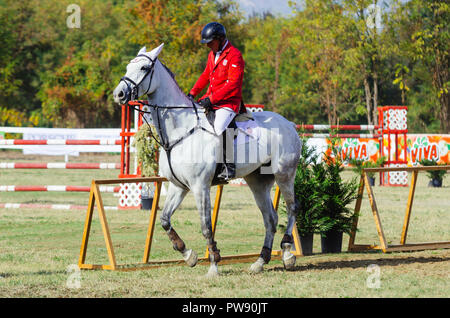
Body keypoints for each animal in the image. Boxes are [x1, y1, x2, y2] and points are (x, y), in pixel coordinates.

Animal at [113, 44, 302, 276]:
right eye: (128, 66)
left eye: (144, 68)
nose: (119, 94)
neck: (181, 130)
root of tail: (288, 123)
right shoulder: (179, 186)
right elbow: (165, 220)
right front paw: (189, 255)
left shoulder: (199, 186)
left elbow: (205, 225)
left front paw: (213, 264)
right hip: (257, 182)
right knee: (270, 218)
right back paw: (260, 261)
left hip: (284, 175)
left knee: (292, 209)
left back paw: (287, 254)